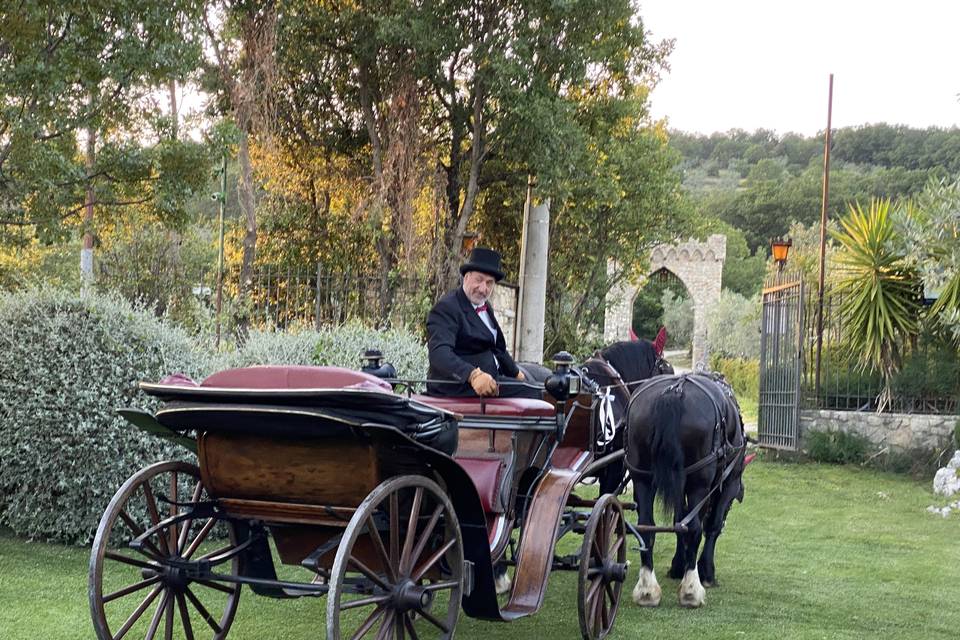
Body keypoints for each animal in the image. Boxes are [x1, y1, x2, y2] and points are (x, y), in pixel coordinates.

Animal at [624, 372, 752, 608]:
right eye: (732, 502)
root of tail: (674, 391)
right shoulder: (729, 482)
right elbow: (711, 525)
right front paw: (706, 571)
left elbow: (678, 521)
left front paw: (677, 565)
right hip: (698, 482)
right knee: (693, 528)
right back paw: (691, 590)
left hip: (642, 477)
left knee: (647, 526)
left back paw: (647, 589)